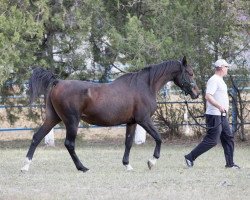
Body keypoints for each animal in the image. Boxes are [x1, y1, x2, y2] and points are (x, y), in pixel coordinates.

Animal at [22, 56, 201, 172]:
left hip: (53, 118)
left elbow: (128, 143)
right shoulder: (144, 120)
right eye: (190, 73)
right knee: (69, 144)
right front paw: (151, 161)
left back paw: (25, 166)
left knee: (36, 137)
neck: (145, 85)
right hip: (71, 121)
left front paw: (127, 165)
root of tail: (57, 82)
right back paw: (82, 168)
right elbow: (158, 138)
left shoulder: (132, 122)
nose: (197, 93)